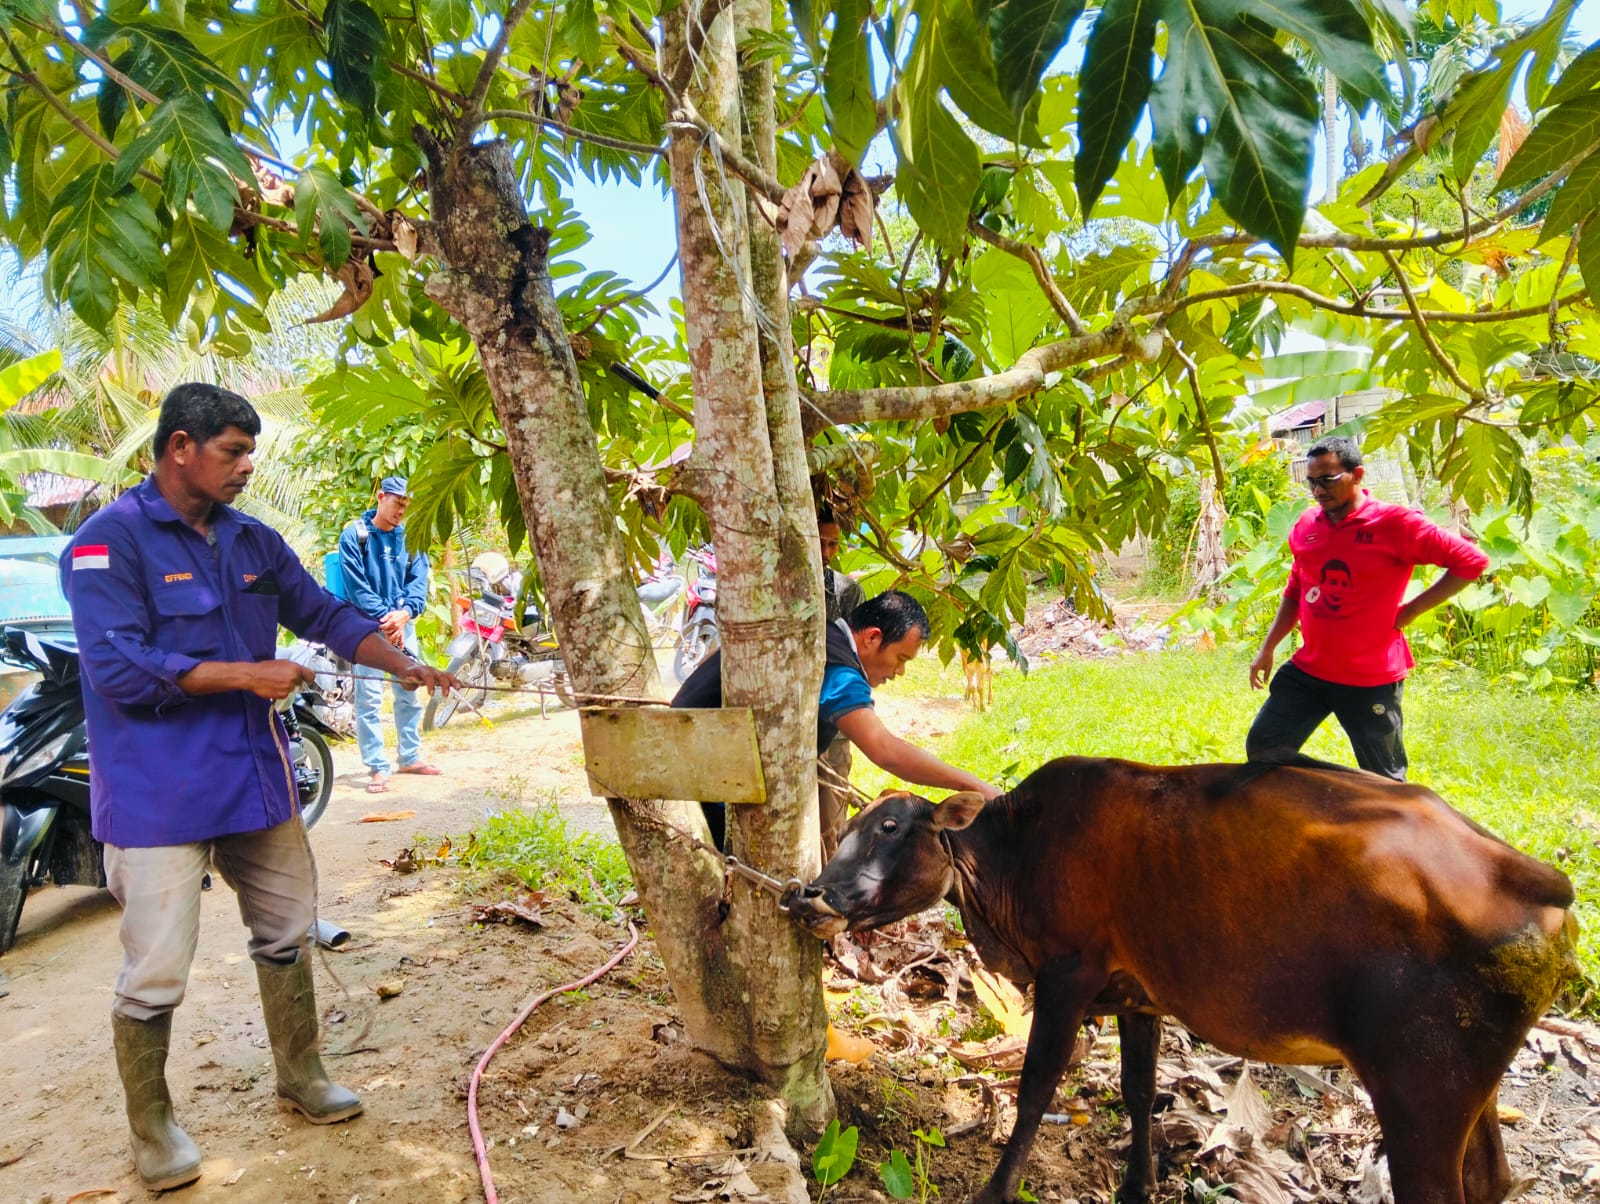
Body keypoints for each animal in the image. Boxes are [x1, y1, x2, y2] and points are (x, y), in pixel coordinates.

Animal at [784, 755, 1574, 1204]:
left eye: (890, 829)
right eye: (851, 828)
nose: (813, 893)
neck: (1014, 852)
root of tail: (1536, 878)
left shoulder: (1068, 976)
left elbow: (1036, 1089)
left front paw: (996, 1190)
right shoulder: (1140, 995)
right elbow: (1138, 1092)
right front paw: (1139, 1186)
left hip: (1421, 1093)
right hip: (1470, 1090)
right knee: (1491, 1182)